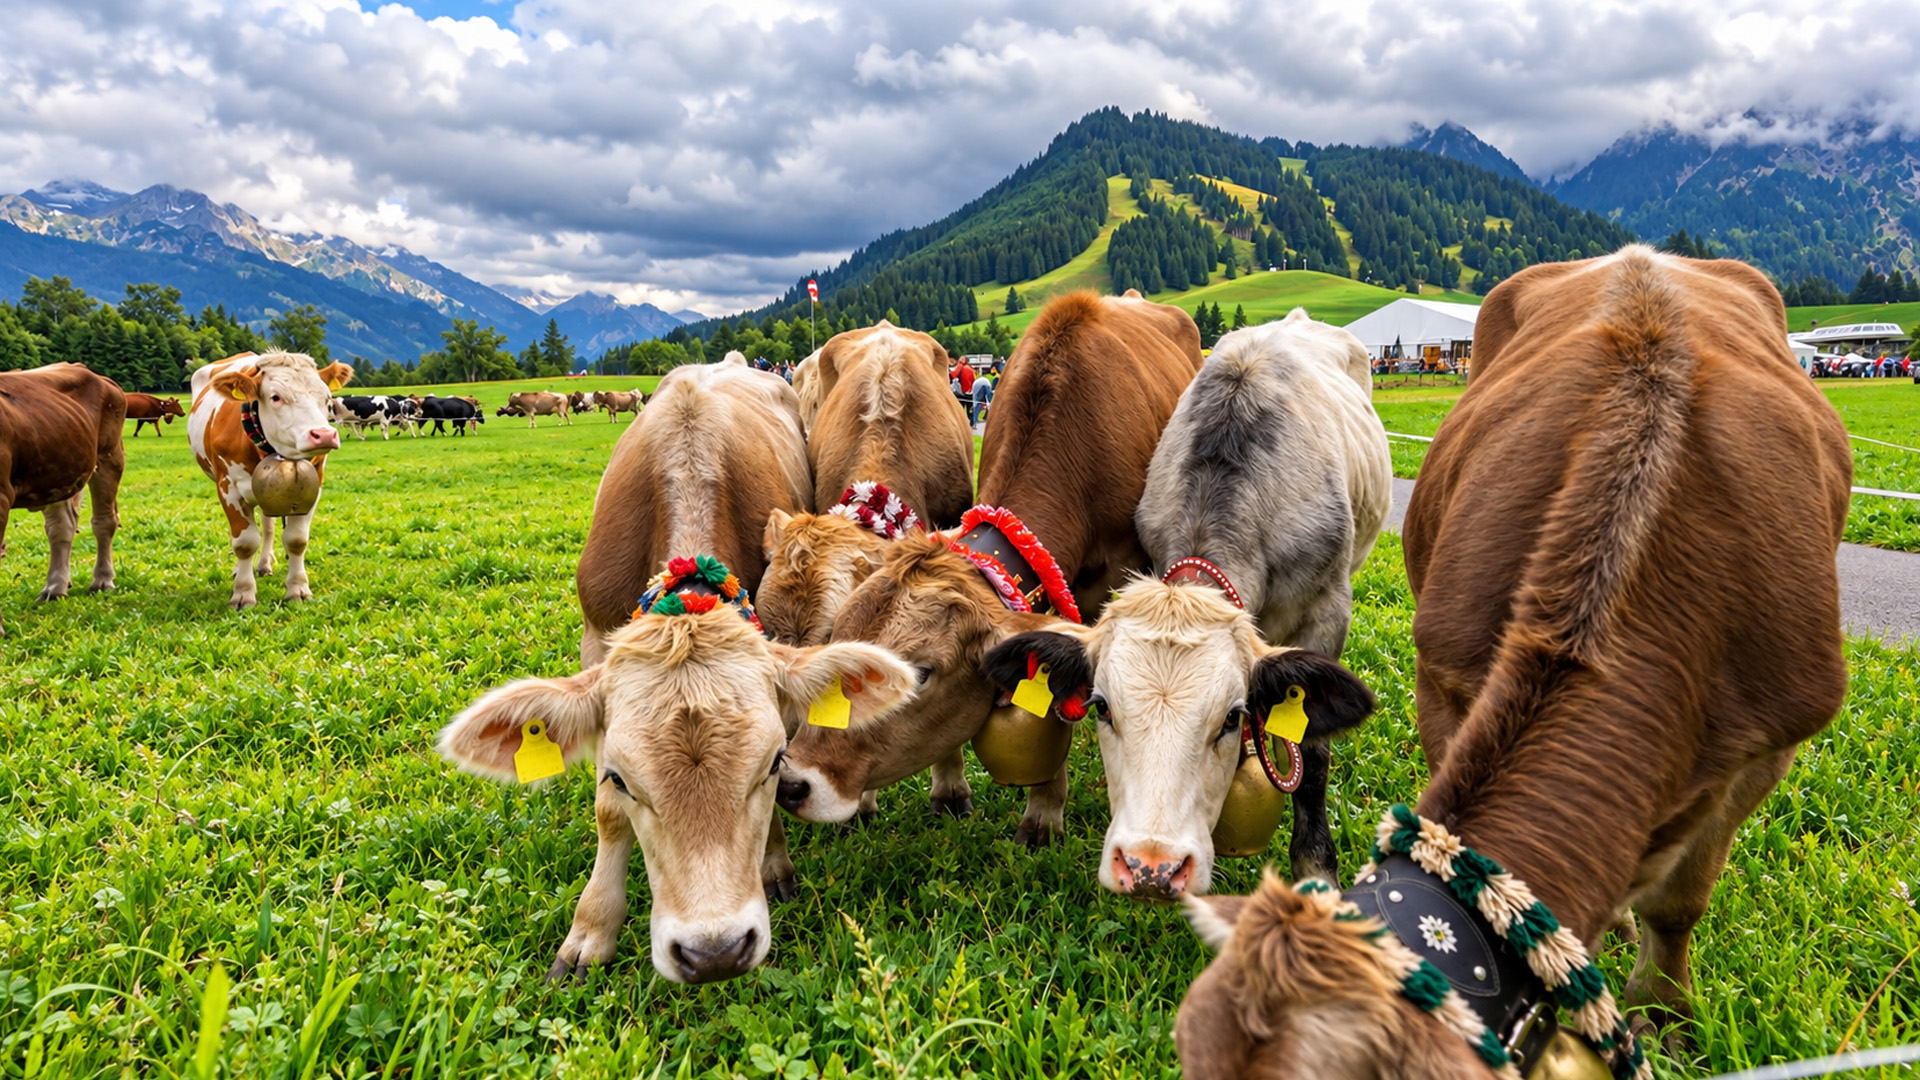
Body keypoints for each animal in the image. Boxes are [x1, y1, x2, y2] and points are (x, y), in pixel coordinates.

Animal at [0, 364, 125, 635]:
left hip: (109, 456)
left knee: (104, 522)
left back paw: (102, 580)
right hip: (58, 472)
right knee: (62, 528)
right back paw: (55, 588)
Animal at [188, 351, 354, 609]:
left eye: (327, 397)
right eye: (276, 397)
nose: (324, 435)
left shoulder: (312, 487)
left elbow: (296, 540)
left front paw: (298, 589)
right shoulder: (228, 488)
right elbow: (244, 542)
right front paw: (243, 593)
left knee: (268, 526)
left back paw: (265, 563)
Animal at [981, 309, 1393, 896]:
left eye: (1232, 716)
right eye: (1102, 707)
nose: (1152, 867)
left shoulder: (1327, 614)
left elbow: (1312, 756)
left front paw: (1316, 874)